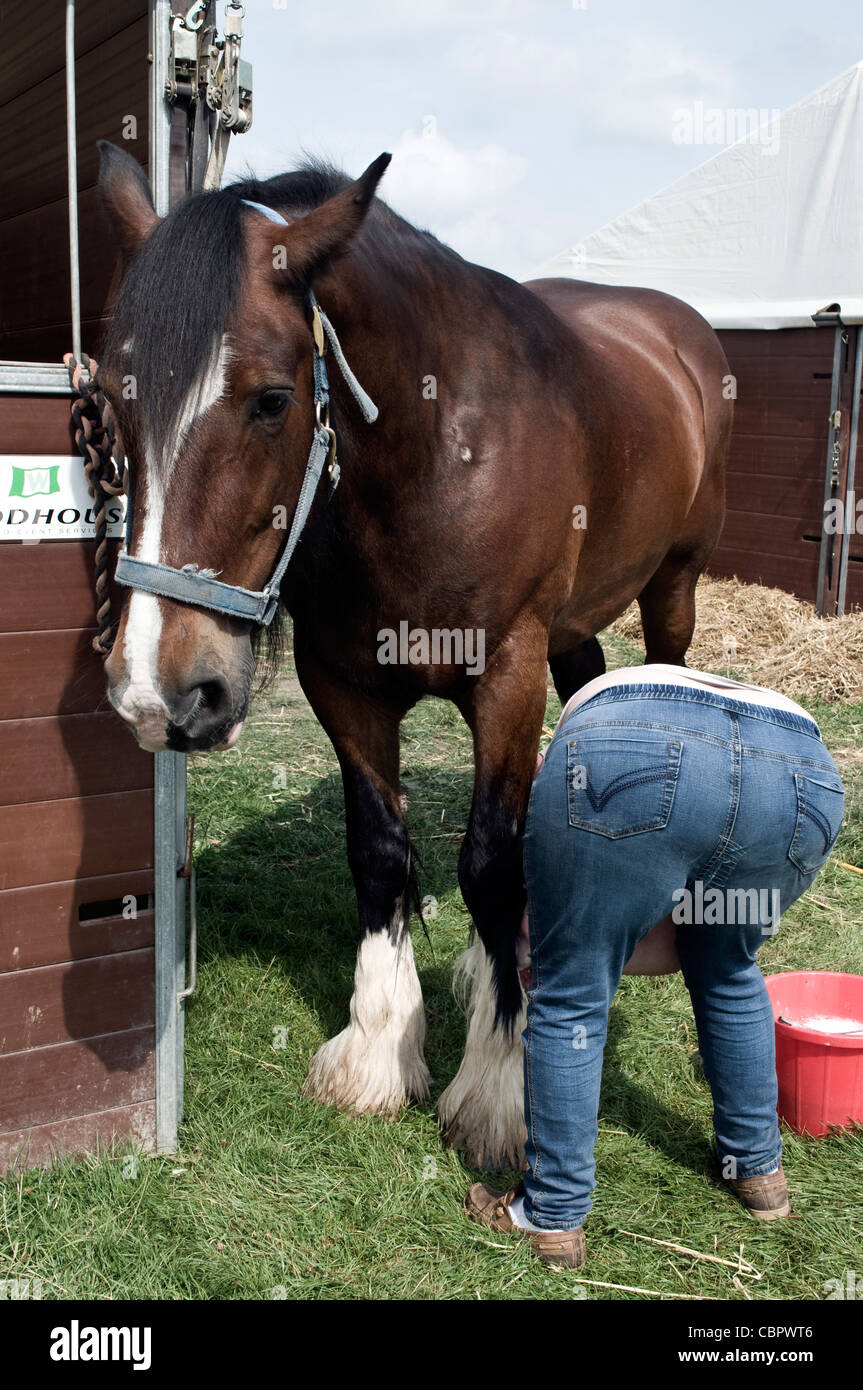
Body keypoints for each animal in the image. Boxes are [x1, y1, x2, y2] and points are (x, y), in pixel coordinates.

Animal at [92, 141, 728, 1167]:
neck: (436, 456)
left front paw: (500, 1090)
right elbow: (381, 853)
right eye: (112, 403)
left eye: (273, 400)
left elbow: (490, 861)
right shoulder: (343, 684)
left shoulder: (504, 672)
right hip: (574, 625)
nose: (159, 693)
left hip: (672, 589)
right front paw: (380, 1050)